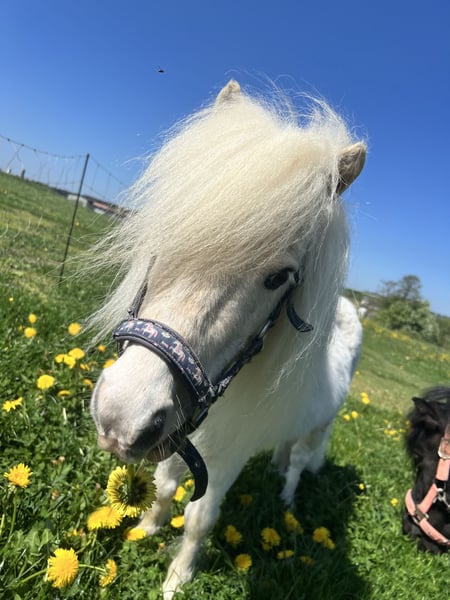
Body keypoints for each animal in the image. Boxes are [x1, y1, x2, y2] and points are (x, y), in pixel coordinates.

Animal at [89, 80, 366, 598]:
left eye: (279, 278)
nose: (120, 418)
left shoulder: (226, 456)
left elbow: (200, 518)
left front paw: (177, 580)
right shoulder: (180, 436)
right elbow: (164, 486)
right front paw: (148, 528)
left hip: (320, 429)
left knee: (301, 461)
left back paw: (287, 496)